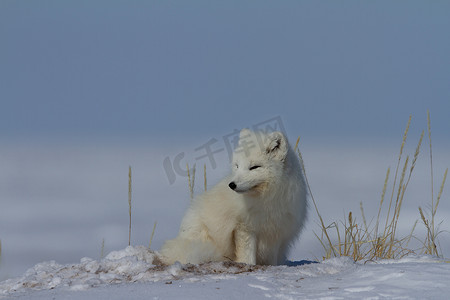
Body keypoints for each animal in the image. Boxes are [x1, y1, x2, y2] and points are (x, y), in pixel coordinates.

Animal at [160, 129, 308, 264]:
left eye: (254, 167)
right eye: (237, 166)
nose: (232, 185)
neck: (266, 199)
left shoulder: (276, 232)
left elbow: (271, 260)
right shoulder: (244, 228)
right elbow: (247, 255)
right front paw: (248, 265)